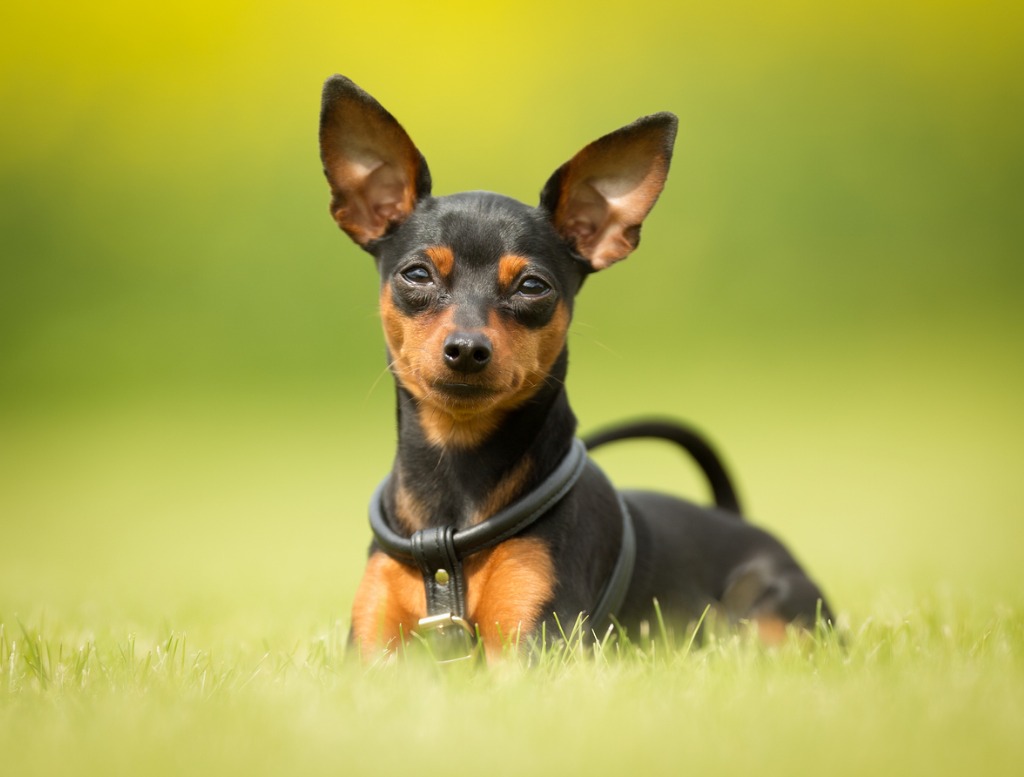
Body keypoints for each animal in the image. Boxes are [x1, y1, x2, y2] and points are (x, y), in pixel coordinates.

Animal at [317, 74, 831, 663]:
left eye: (532, 287)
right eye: (417, 274)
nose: (467, 349)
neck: (454, 485)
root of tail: (736, 520)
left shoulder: (532, 643)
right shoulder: (372, 650)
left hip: (776, 614)